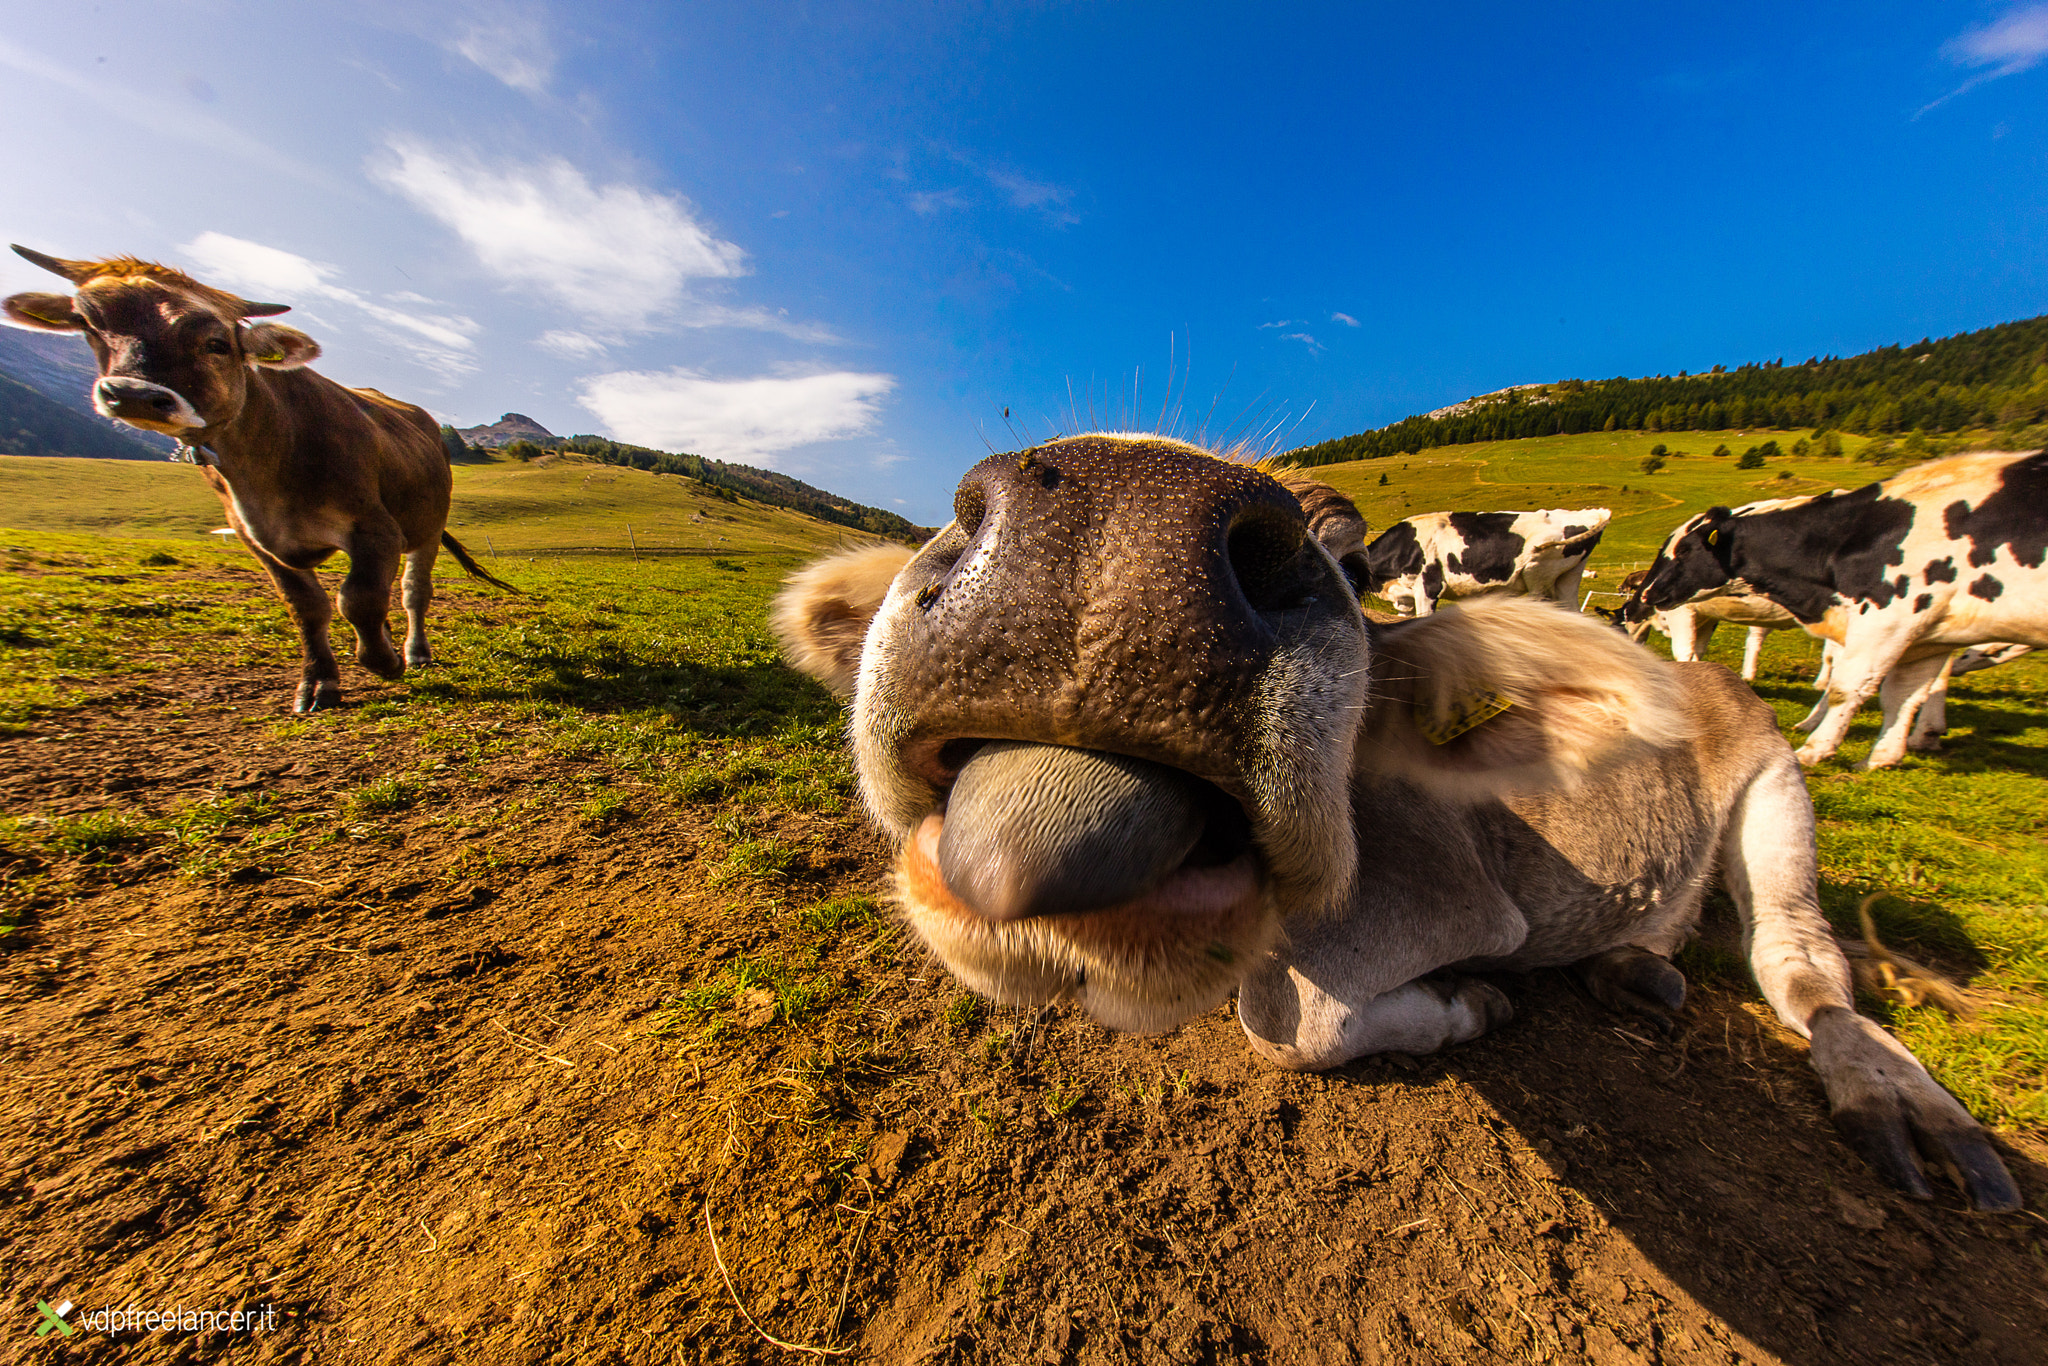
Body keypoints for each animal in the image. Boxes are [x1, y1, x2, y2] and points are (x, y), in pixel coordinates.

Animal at [2, 248, 512, 716]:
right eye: (87, 323)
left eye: (217, 343)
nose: (134, 396)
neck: (269, 462)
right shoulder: (255, 539)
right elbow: (307, 608)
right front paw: (319, 684)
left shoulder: (375, 529)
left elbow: (358, 599)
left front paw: (385, 663)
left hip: (427, 525)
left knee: (411, 591)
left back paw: (414, 651)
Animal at [1613, 448, 2048, 770]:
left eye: (1684, 551)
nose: (1649, 593)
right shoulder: (1920, 632)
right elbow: (1901, 695)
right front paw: (1880, 758)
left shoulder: (1891, 615)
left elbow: (1849, 685)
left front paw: (1814, 750)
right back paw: (1923, 733)